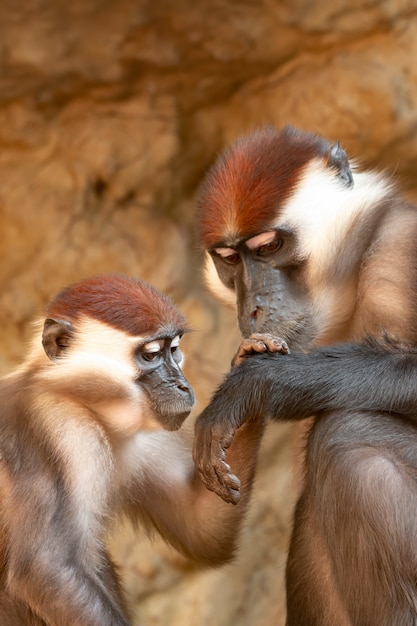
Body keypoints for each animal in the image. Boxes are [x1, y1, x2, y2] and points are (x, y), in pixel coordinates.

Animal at [0, 274, 262, 624]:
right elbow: (45, 567)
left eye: (174, 350)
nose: (182, 386)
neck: (79, 399)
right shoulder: (59, 428)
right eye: (151, 355)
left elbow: (202, 533)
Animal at [193, 127, 417, 624]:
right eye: (229, 260)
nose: (253, 307)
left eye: (267, 247)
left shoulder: (402, 248)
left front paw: (255, 385)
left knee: (350, 435)